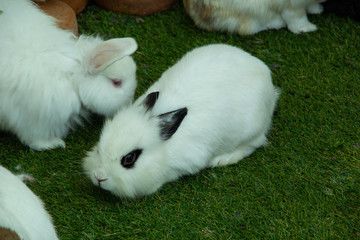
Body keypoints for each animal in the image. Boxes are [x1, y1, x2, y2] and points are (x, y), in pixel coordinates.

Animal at [0, 0, 138, 150]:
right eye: (117, 82)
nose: (130, 102)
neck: (72, 76)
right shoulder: (32, 120)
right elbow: (34, 140)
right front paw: (54, 144)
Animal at [83, 43, 282, 199]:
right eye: (99, 149)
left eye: (129, 159)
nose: (99, 177)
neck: (164, 149)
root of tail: (267, 79)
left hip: (250, 130)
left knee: (253, 144)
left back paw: (222, 159)